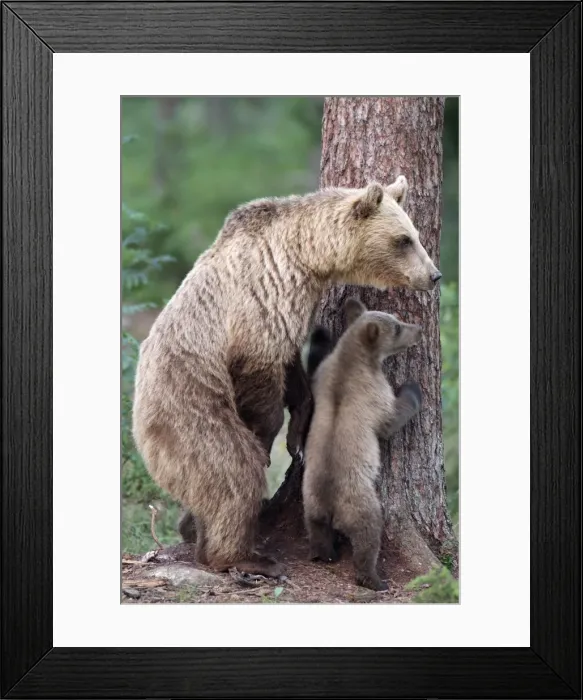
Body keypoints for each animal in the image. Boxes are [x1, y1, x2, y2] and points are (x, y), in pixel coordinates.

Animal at [302, 298, 423, 591]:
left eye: (398, 319)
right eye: (398, 327)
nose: (419, 329)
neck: (356, 356)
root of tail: (331, 507)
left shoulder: (322, 375)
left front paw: (321, 334)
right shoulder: (372, 391)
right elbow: (391, 418)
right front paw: (413, 388)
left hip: (309, 499)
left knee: (317, 529)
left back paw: (324, 554)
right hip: (360, 501)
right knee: (368, 536)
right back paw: (375, 579)